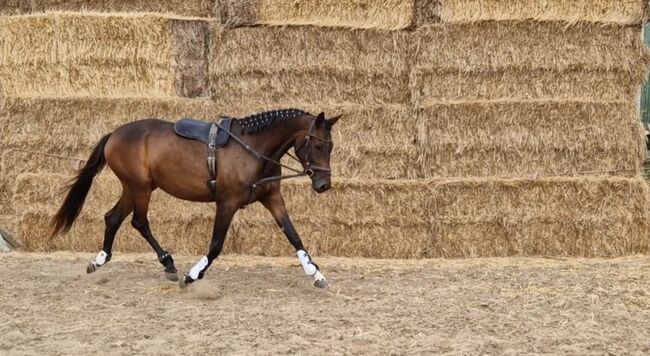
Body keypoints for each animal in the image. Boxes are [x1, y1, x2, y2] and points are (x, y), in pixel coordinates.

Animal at [50, 110, 340, 288]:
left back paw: (99, 260)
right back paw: (168, 263)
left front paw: (316, 274)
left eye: (331, 146)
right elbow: (216, 245)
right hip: (140, 188)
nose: (323, 184)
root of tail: (114, 134)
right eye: (317, 145)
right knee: (138, 222)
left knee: (113, 218)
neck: (254, 150)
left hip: (134, 188)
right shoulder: (227, 203)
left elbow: (294, 236)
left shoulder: (272, 198)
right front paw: (193, 274)